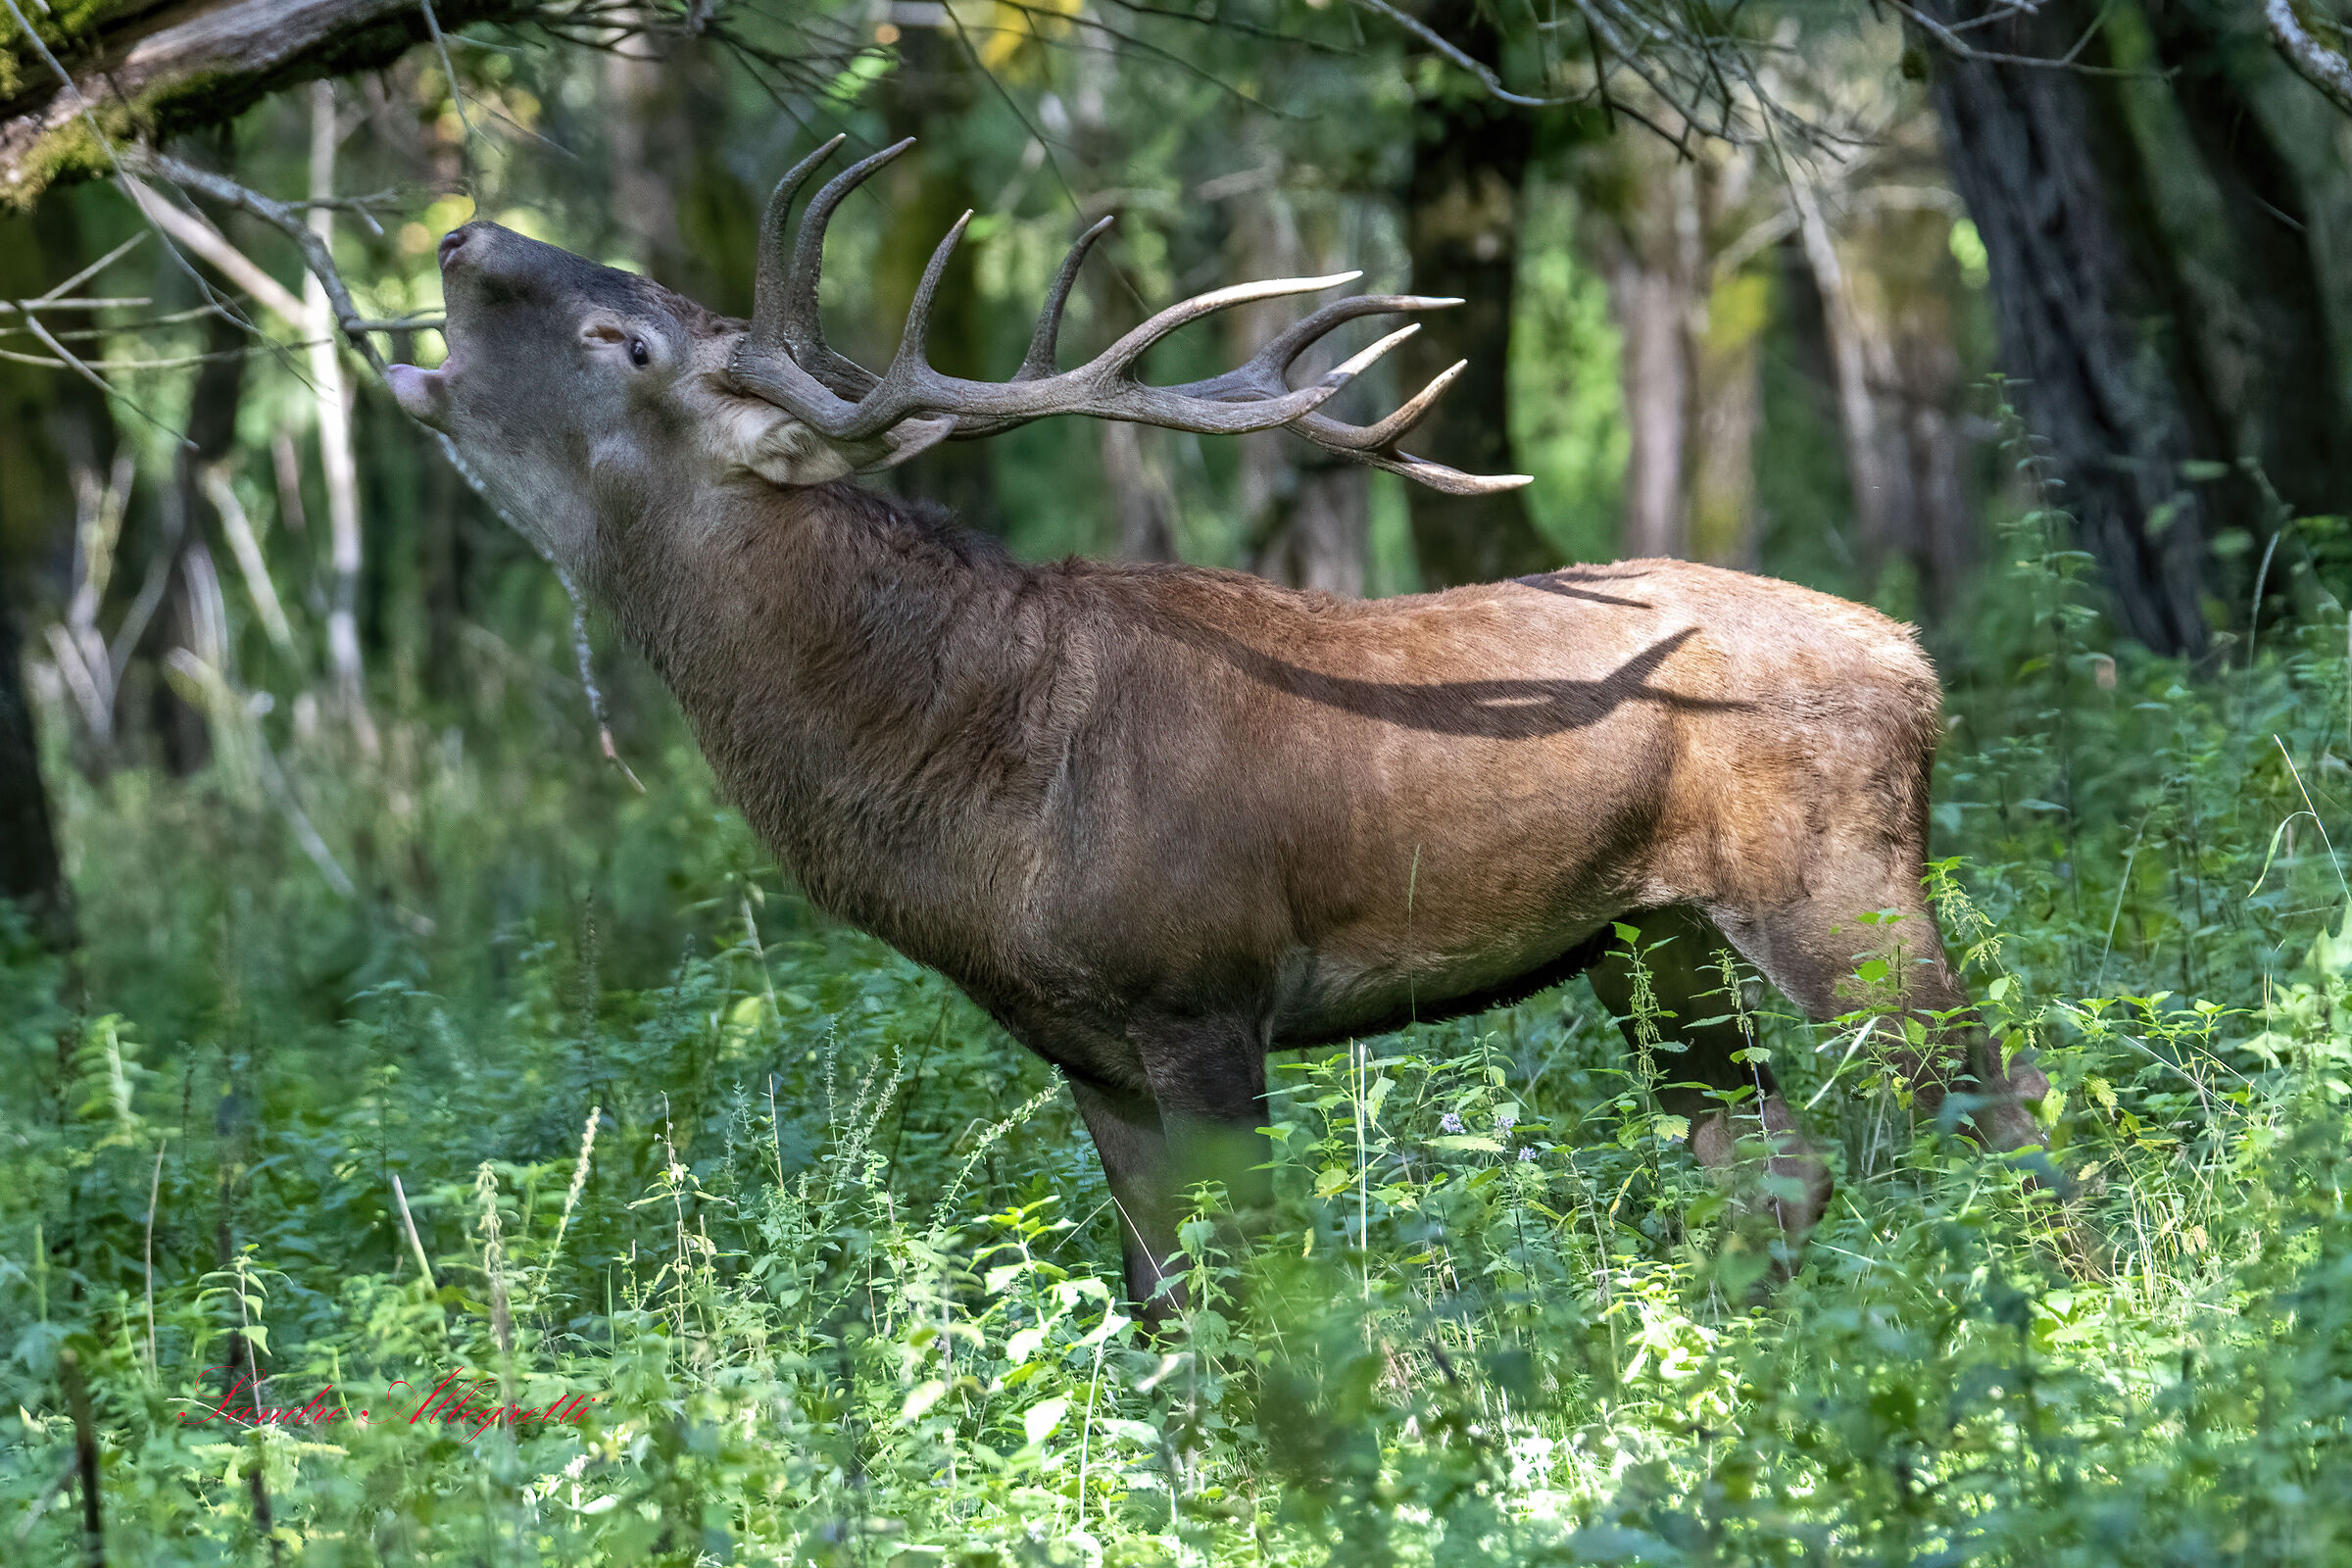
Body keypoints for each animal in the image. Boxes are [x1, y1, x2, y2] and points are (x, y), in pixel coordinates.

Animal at [389, 136, 2051, 1316]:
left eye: (627, 340)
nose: (461, 235)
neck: (974, 790)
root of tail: (1916, 659)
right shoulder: (1085, 1046)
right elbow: (1160, 1299)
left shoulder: (1200, 989)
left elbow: (1258, 1284)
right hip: (1650, 940)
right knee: (1769, 1159)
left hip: (1841, 885)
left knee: (2000, 1101)